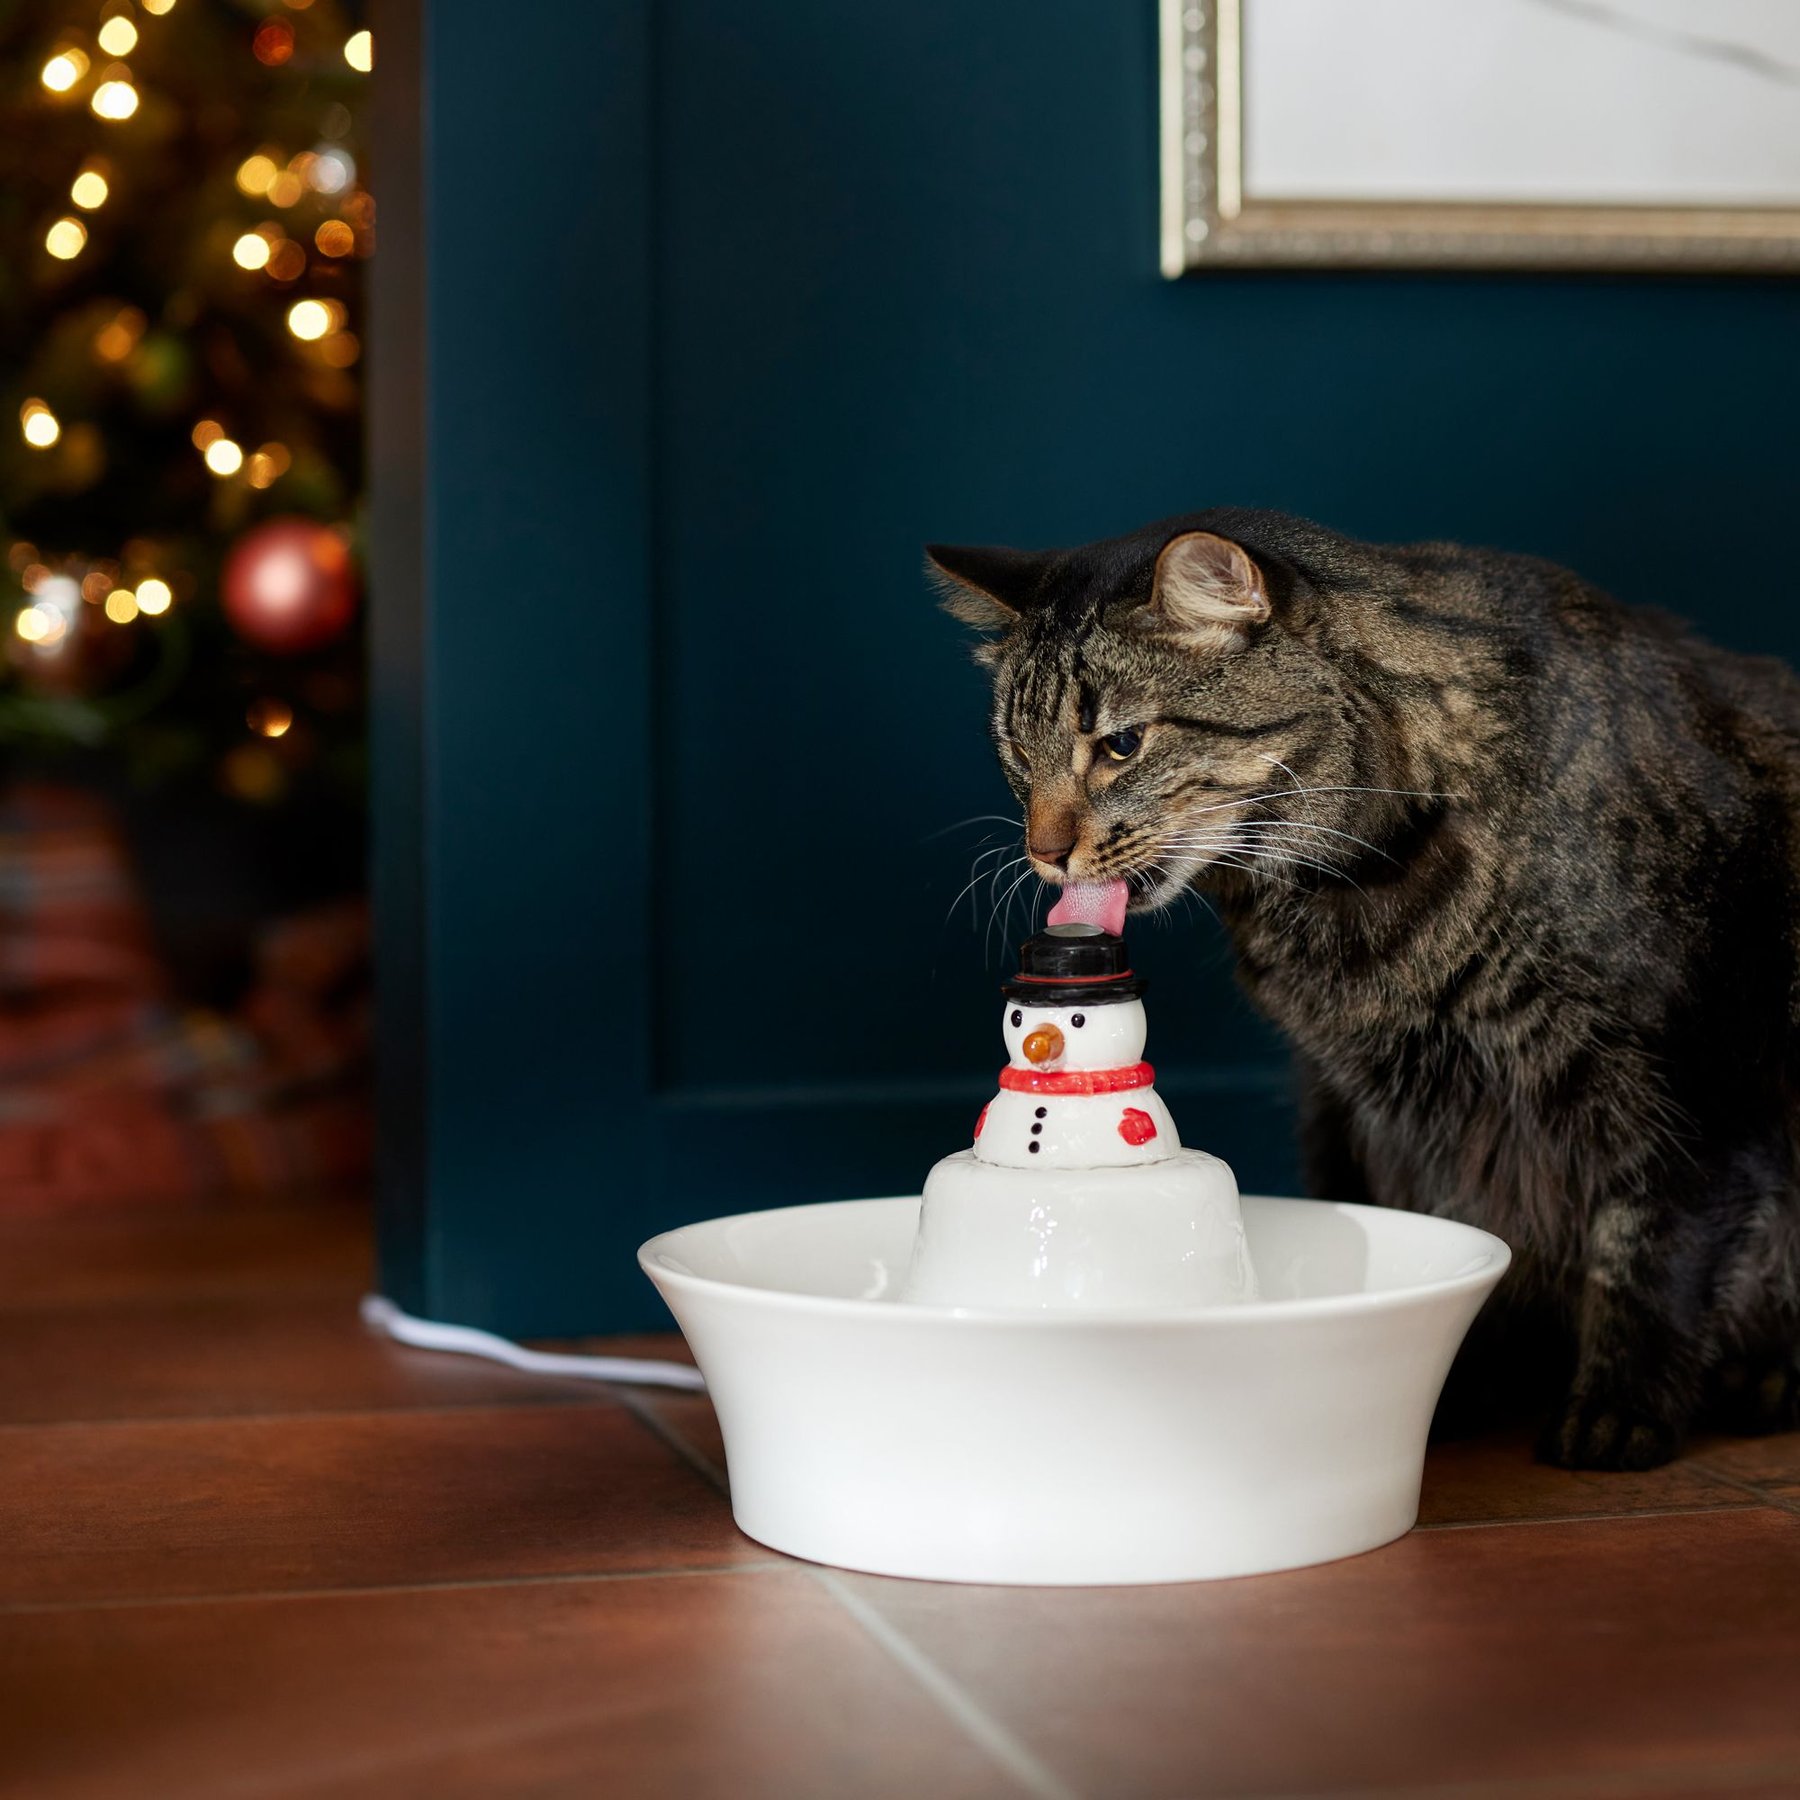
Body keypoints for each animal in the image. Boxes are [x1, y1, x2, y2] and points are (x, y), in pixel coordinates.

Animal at [928, 514, 1800, 1468]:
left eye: (1121, 744)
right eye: (1018, 753)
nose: (1043, 853)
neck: (1356, 891)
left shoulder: (1689, 1074)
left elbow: (1648, 1249)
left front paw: (1618, 1408)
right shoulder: (1392, 1109)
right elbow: (1448, 1229)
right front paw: (1447, 1380)